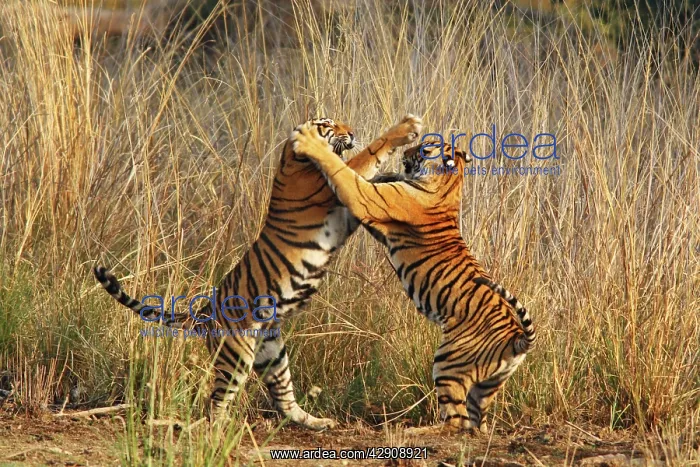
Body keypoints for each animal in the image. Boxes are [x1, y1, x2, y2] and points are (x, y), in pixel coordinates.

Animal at [93, 115, 423, 431]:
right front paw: (406, 129)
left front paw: (393, 177)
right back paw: (223, 429)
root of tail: (204, 314)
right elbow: (367, 157)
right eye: (329, 124)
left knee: (284, 400)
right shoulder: (332, 189)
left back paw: (317, 422)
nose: (352, 132)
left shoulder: (345, 212)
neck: (291, 157)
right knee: (215, 404)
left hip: (273, 353)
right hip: (236, 356)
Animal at [290, 125, 535, 433]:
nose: (406, 153)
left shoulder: (368, 200)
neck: (450, 184)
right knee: (474, 423)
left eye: (423, 149)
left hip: (448, 361)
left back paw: (414, 430)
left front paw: (312, 144)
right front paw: (384, 169)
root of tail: (517, 338)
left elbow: (344, 174)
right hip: (487, 386)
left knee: (455, 422)